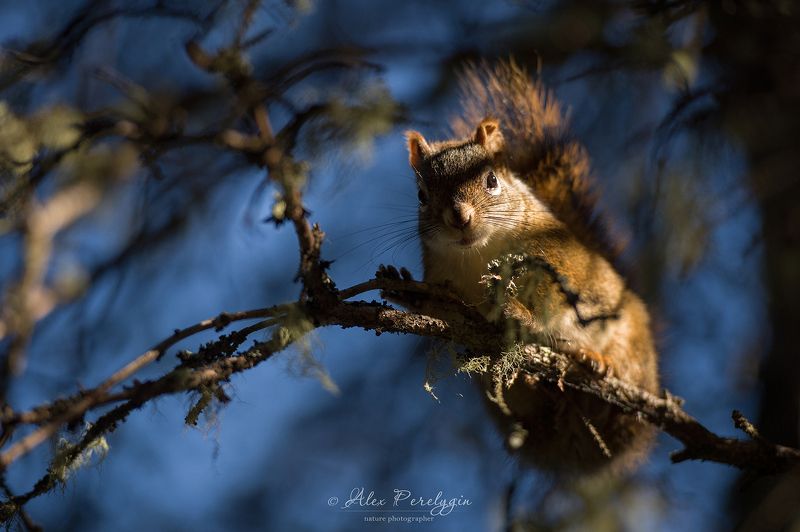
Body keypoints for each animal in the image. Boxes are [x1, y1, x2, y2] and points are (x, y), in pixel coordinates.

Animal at [398, 60, 660, 474]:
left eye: (491, 179)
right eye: (422, 195)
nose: (460, 218)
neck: (478, 255)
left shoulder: (558, 261)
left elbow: (552, 302)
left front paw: (519, 312)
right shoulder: (445, 282)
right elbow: (443, 309)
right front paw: (406, 293)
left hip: (630, 337)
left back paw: (599, 362)